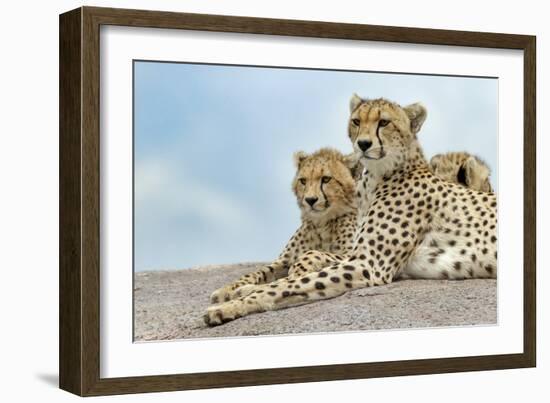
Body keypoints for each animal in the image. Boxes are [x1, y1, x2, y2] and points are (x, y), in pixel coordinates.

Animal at [205, 94, 498, 326]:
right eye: (356, 121)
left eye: (384, 122)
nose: (364, 144)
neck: (376, 178)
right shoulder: (359, 257)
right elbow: (289, 277)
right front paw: (238, 291)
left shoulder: (367, 264)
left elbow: (293, 282)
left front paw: (229, 306)